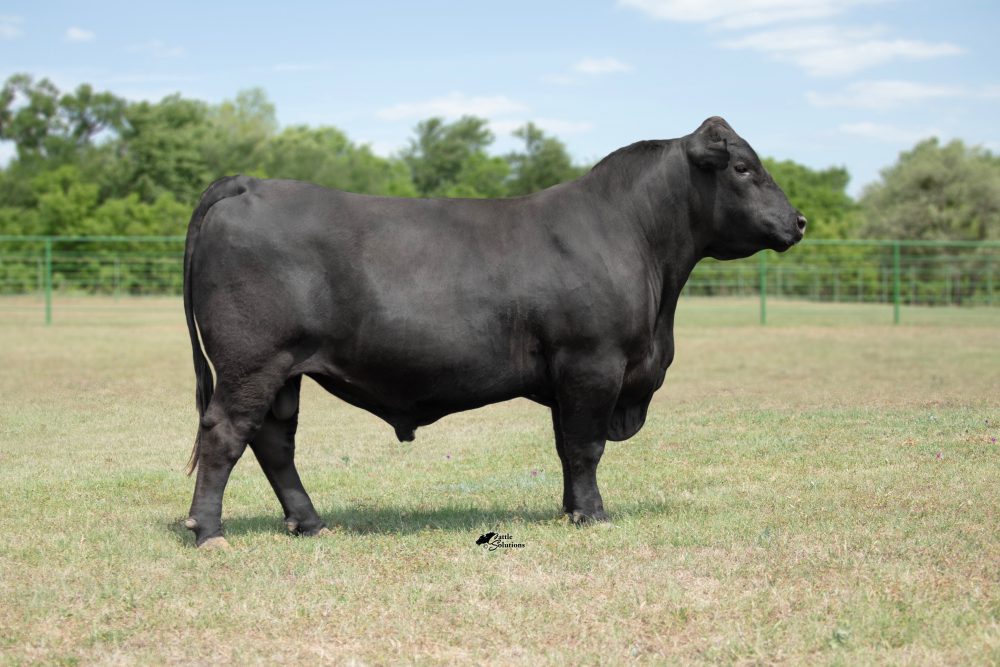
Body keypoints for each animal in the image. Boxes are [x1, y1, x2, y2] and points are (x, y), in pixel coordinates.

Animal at [181, 116, 805, 549]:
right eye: (743, 168)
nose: (798, 221)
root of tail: (250, 184)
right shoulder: (593, 362)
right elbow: (587, 446)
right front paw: (594, 515)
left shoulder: (569, 374)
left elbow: (565, 446)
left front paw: (570, 510)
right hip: (251, 362)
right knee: (225, 432)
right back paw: (209, 532)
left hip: (284, 370)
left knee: (274, 441)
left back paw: (309, 523)